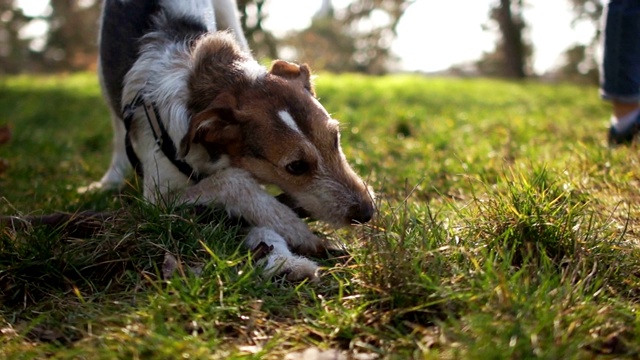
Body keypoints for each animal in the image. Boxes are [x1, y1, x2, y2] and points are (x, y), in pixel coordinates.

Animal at [90, 0, 376, 282]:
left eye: (335, 138)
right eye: (296, 166)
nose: (367, 212)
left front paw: (284, 261)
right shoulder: (157, 202)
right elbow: (235, 182)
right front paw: (293, 227)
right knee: (118, 130)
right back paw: (110, 180)